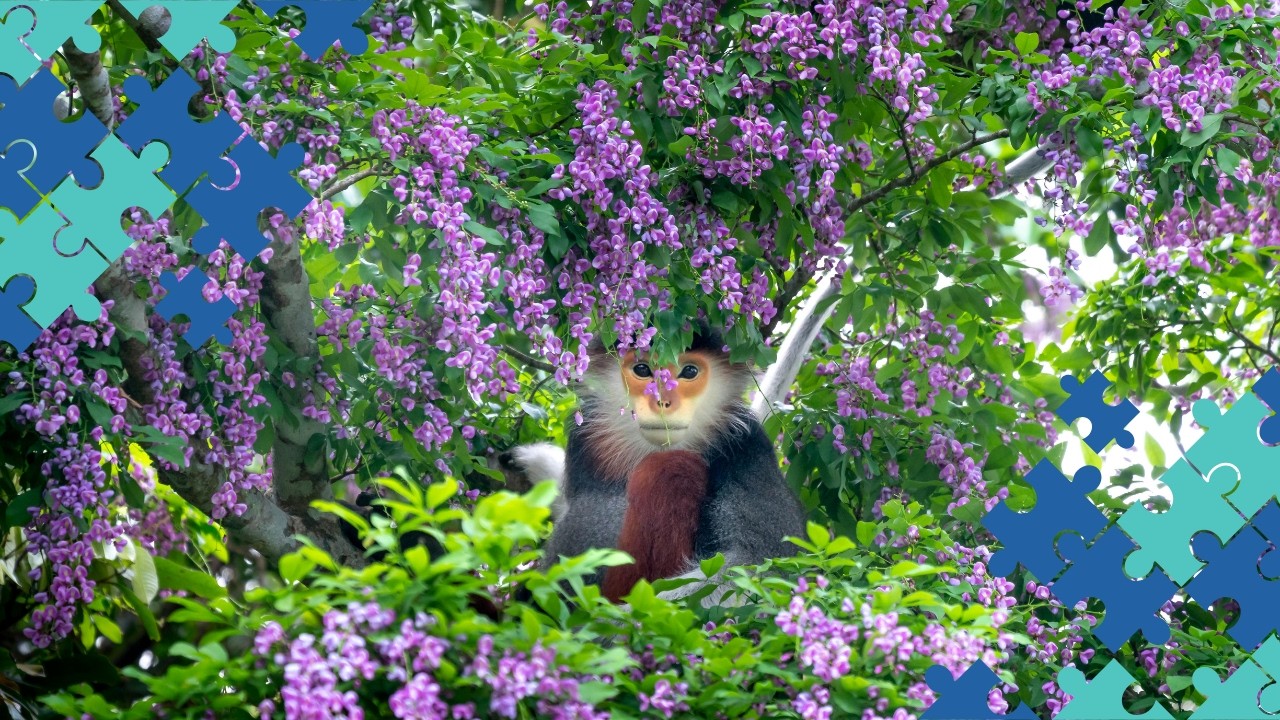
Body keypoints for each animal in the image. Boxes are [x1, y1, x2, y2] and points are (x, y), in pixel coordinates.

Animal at [511, 321, 809, 605]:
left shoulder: (746, 448)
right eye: (643, 369)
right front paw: (534, 462)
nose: (662, 401)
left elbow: (764, 565)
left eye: (689, 372)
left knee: (669, 469)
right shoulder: (587, 438)